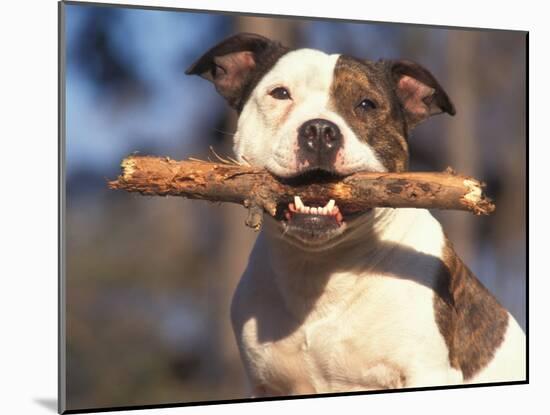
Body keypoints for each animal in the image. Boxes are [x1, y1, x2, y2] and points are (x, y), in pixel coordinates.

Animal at [188, 32, 528, 396]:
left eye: (367, 104)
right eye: (280, 93)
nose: (319, 131)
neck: (320, 267)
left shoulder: (426, 371)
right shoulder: (266, 384)